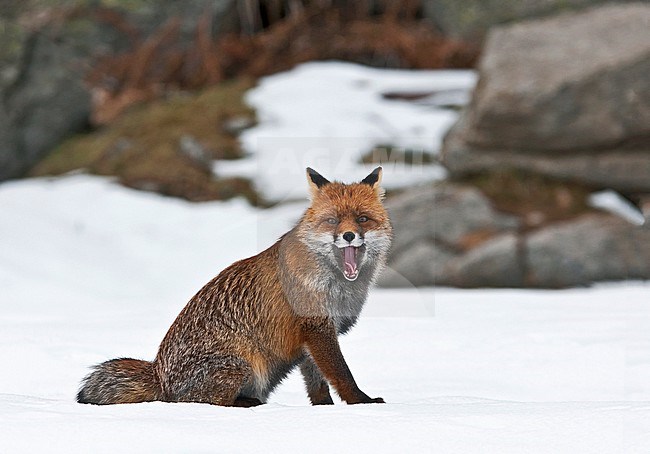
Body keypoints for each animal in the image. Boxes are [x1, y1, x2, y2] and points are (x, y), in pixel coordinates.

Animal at [76, 167, 390, 408]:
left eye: (362, 219)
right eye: (332, 221)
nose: (348, 236)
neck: (338, 285)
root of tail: (159, 375)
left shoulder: (313, 336)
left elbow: (318, 382)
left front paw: (324, 409)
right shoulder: (316, 326)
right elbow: (341, 374)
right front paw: (361, 402)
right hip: (244, 365)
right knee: (201, 402)